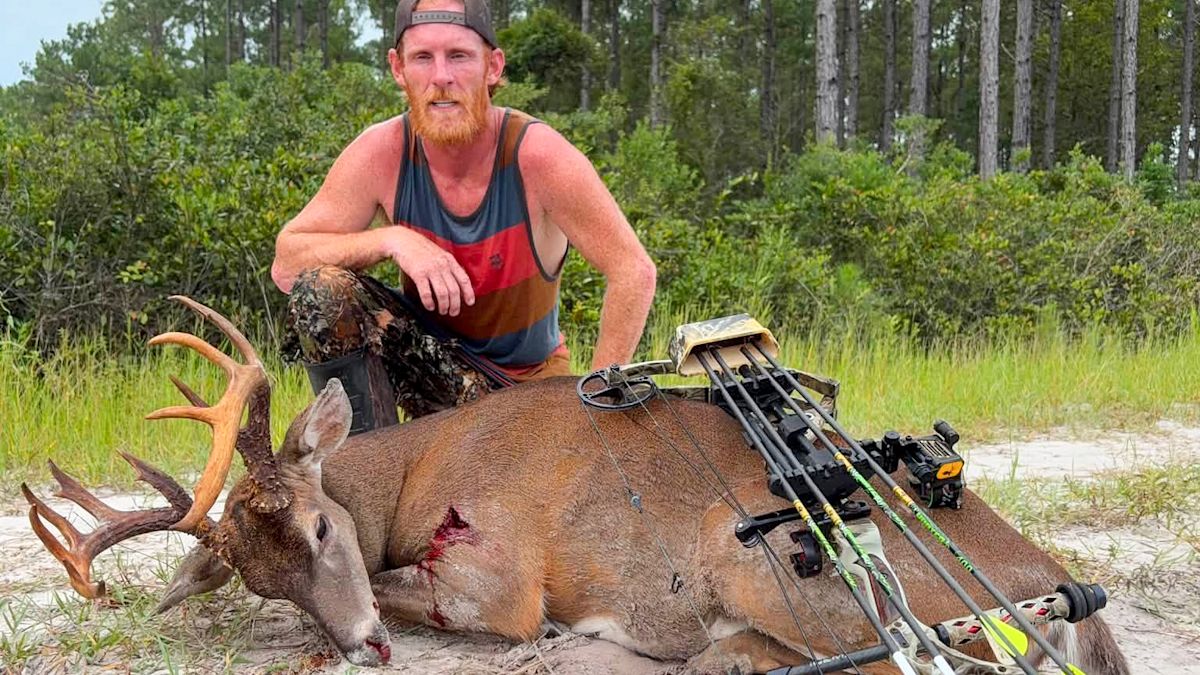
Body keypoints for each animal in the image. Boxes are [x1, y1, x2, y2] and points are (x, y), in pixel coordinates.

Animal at [22, 297, 1130, 674]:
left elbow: (451, 599)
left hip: (766, 557)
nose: (361, 647)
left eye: (322, 529)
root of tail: (1061, 588)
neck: (421, 467)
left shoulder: (504, 575)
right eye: (266, 581)